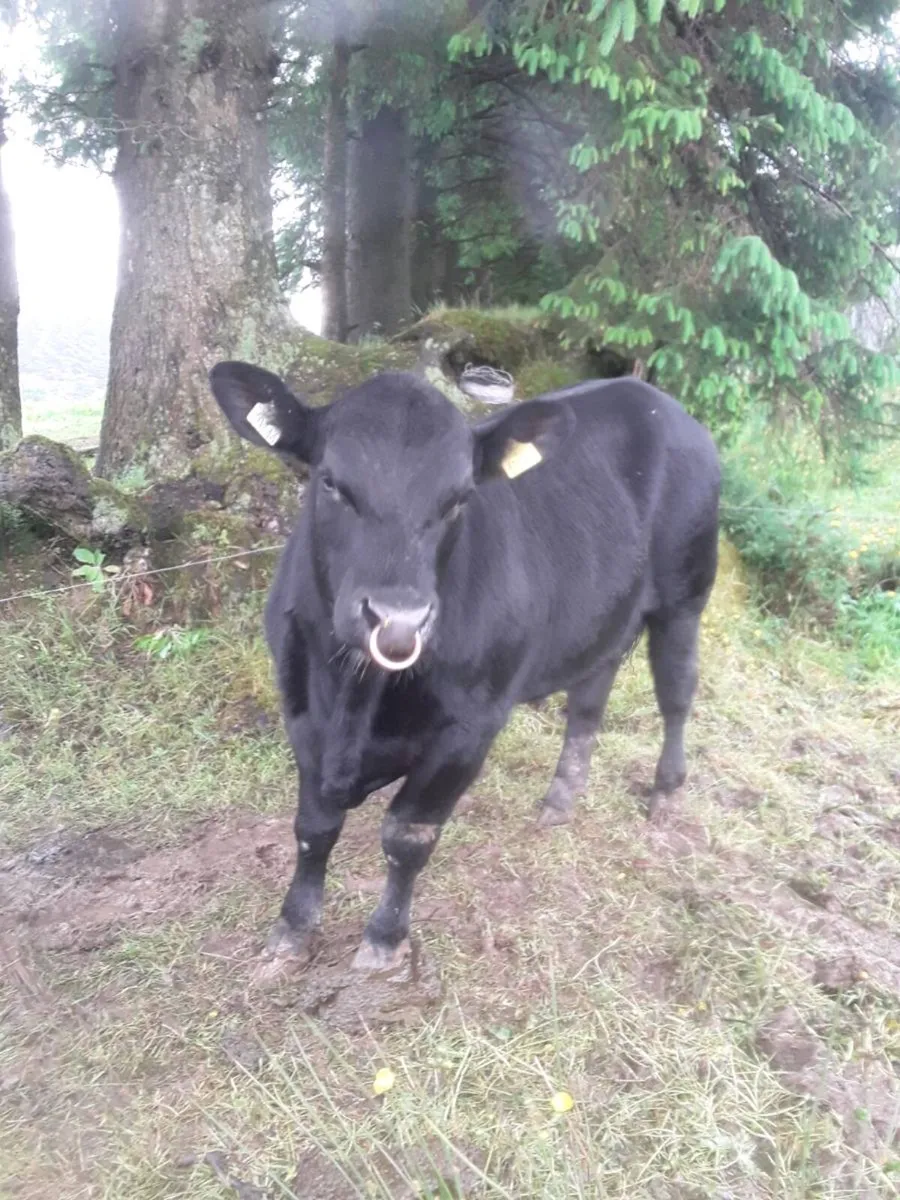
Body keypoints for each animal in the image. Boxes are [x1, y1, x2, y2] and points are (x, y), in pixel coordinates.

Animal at [209, 363, 720, 972]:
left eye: (459, 499)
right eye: (330, 482)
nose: (397, 620)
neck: (353, 703)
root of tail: (657, 401)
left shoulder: (470, 728)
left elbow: (408, 836)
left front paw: (385, 938)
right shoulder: (300, 707)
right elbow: (314, 827)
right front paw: (293, 926)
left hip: (685, 596)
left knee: (677, 692)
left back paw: (666, 792)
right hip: (607, 614)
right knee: (589, 699)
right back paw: (561, 798)